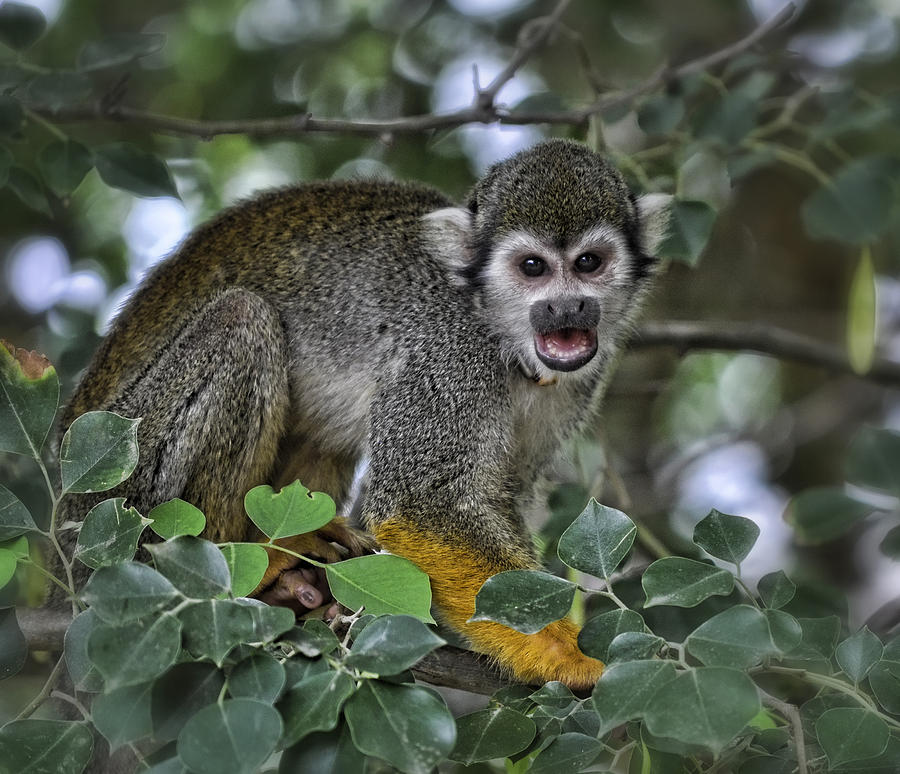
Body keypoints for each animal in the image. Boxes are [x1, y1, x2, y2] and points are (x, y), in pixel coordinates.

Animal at [58, 139, 668, 692]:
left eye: (588, 263)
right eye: (533, 268)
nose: (567, 307)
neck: (502, 335)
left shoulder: (577, 381)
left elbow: (497, 496)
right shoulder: (447, 351)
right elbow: (423, 505)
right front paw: (571, 654)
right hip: (118, 498)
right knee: (241, 317)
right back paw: (239, 577)